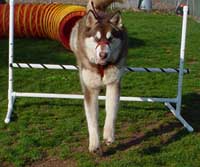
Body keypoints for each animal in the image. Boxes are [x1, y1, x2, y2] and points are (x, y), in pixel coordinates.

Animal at [69, 0, 127, 154]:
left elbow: (111, 111)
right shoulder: (90, 89)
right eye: (96, 38)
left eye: (110, 38)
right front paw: (94, 143)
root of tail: (99, 12)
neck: (101, 66)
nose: (103, 54)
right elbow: (92, 119)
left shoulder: (114, 83)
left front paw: (108, 135)